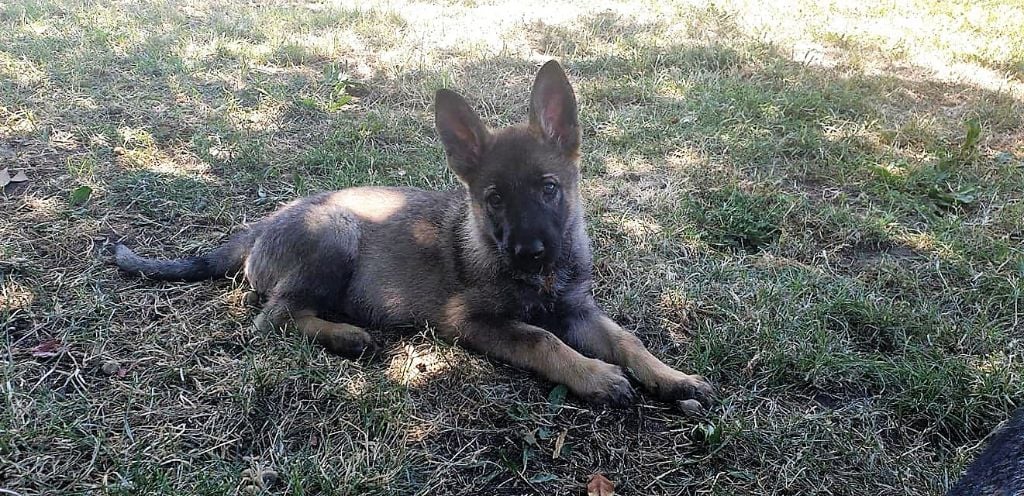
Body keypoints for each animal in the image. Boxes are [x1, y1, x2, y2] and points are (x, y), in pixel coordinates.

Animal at [116, 59, 712, 407]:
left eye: (549, 189)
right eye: (494, 199)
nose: (531, 253)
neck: (536, 282)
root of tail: (260, 227)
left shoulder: (577, 310)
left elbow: (627, 340)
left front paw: (671, 376)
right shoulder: (474, 321)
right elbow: (542, 339)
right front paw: (595, 375)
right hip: (334, 233)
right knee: (272, 320)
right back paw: (345, 335)